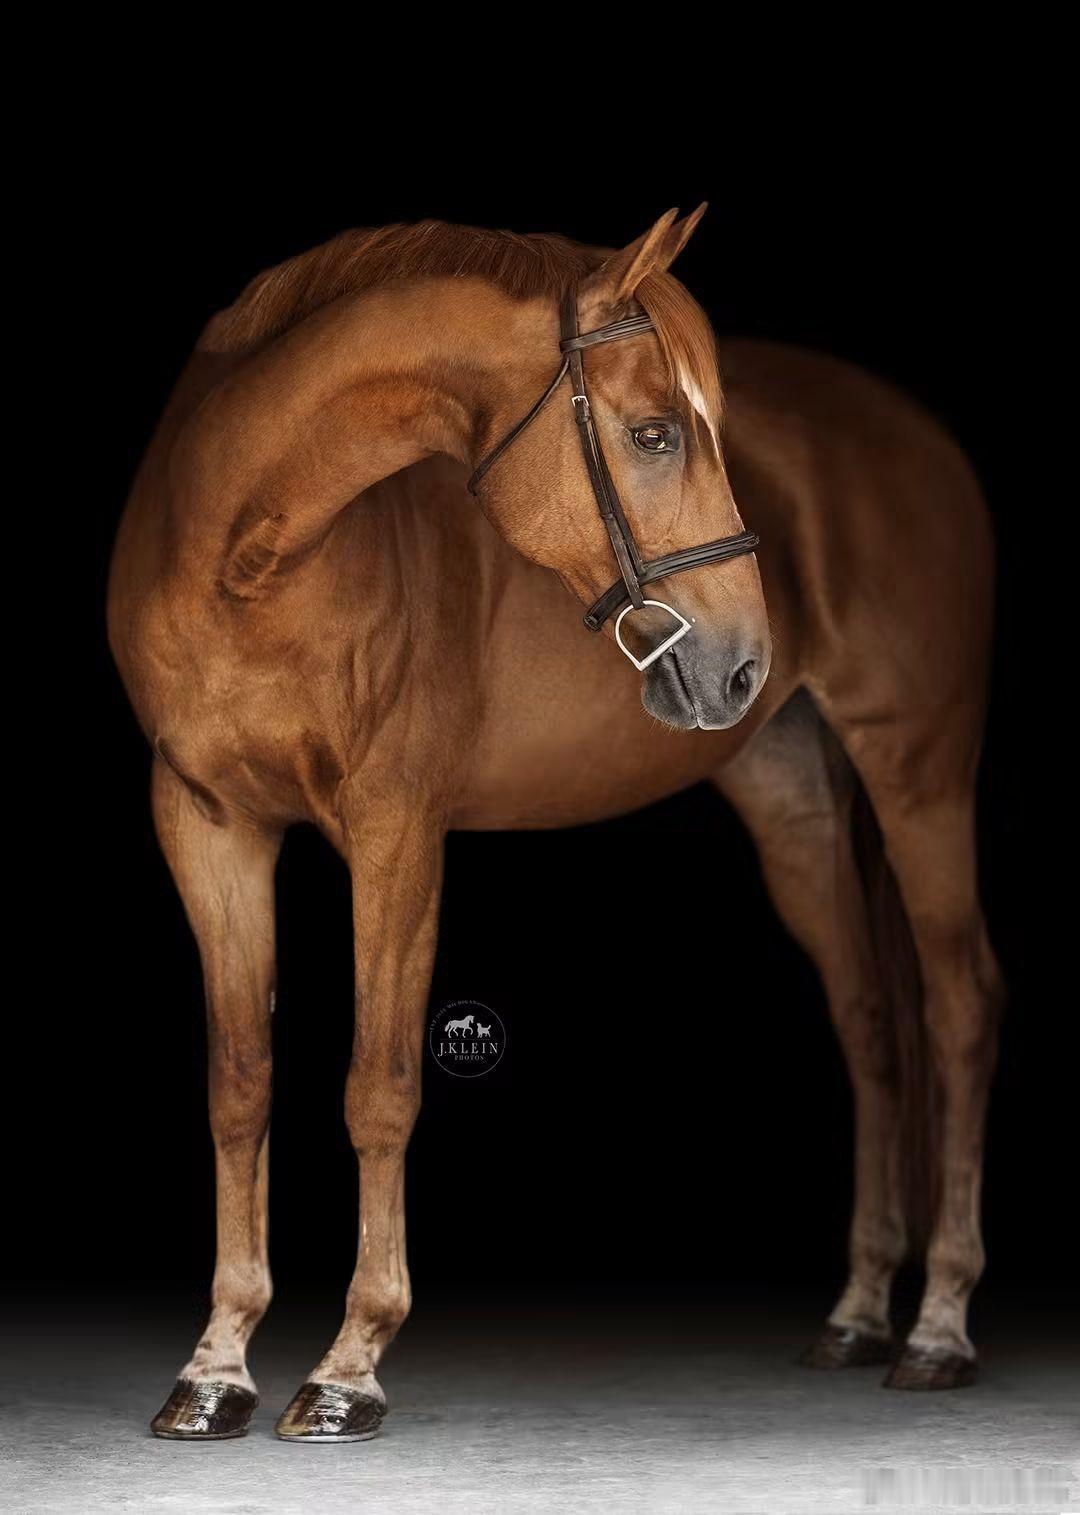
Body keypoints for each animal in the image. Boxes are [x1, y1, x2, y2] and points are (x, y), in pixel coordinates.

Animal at [107, 207, 1002, 1442]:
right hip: (795, 798)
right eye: (655, 433)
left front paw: (348, 1368)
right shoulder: (206, 825)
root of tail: (916, 434)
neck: (248, 554)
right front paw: (213, 1367)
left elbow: (380, 1086)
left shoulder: (395, 828)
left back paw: (939, 1329)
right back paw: (860, 1315)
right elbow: (238, 1087)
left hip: (919, 773)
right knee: (871, 1021)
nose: (741, 659)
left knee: (959, 1009)